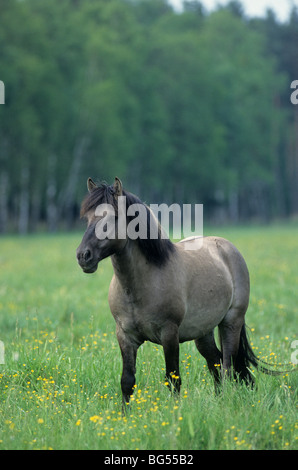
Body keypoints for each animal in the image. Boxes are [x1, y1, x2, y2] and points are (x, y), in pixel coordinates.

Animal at [77, 178, 266, 406]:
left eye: (113, 217)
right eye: (87, 218)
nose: (83, 256)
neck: (138, 287)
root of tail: (227, 248)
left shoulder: (169, 334)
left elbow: (173, 379)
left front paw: (175, 411)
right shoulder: (125, 336)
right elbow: (127, 381)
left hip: (231, 322)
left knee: (228, 367)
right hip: (203, 333)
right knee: (216, 364)